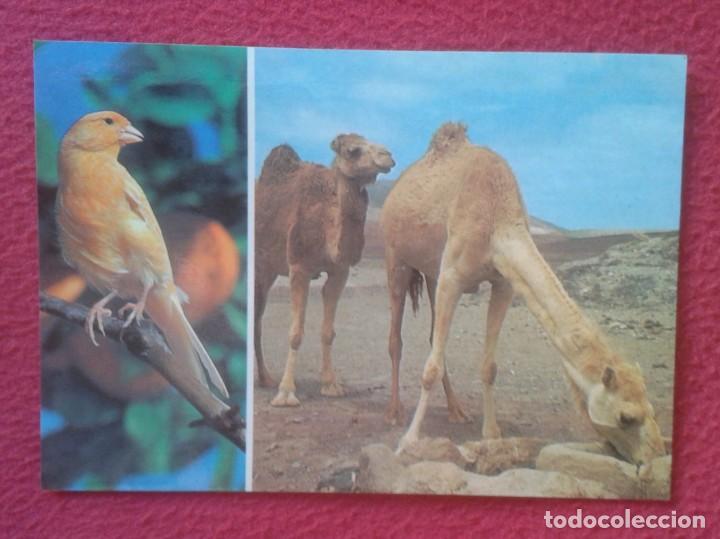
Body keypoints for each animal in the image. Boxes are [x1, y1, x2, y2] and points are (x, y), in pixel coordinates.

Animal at [255, 134, 395, 406]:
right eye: (353, 150)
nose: (388, 156)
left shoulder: (340, 271)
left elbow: (328, 332)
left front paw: (331, 385)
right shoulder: (299, 267)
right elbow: (295, 333)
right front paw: (286, 393)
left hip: (269, 271)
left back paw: (265, 378)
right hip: (260, 267)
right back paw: (265, 379)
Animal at [382, 122, 665, 465]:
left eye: (652, 409)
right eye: (626, 417)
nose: (656, 454)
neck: (496, 216)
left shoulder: (503, 283)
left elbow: (489, 367)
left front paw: (492, 435)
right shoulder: (452, 277)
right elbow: (430, 368)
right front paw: (408, 441)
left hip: (431, 272)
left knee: (434, 340)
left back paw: (457, 411)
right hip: (396, 260)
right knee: (396, 338)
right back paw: (394, 412)